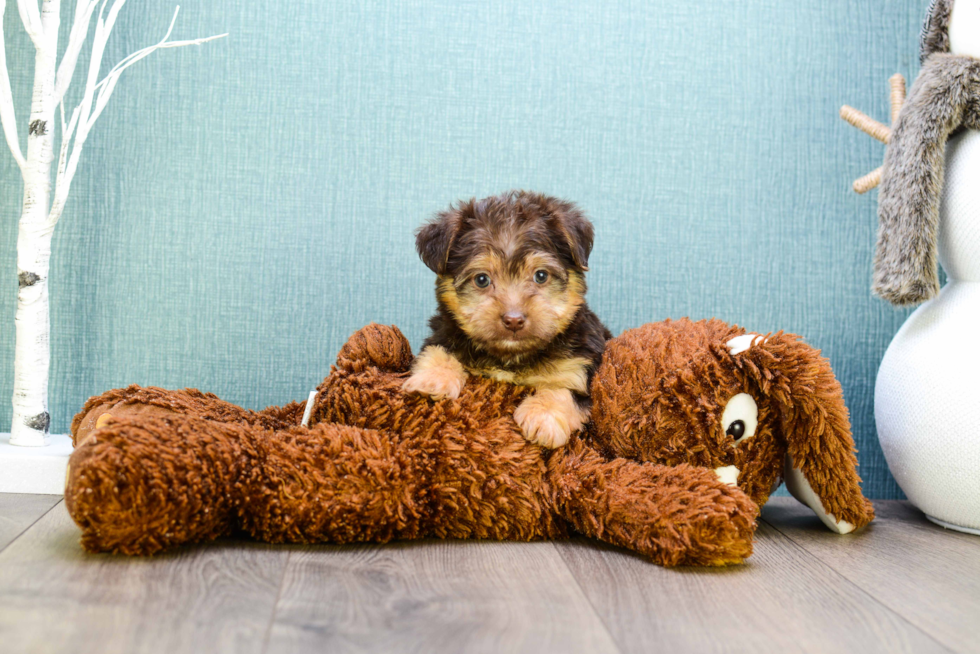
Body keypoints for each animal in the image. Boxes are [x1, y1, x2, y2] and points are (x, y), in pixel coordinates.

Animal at [402, 191, 608, 452]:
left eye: (541, 276)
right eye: (481, 279)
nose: (513, 320)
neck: (512, 357)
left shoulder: (580, 363)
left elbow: (565, 386)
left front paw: (543, 416)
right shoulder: (444, 333)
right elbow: (440, 350)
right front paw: (433, 380)